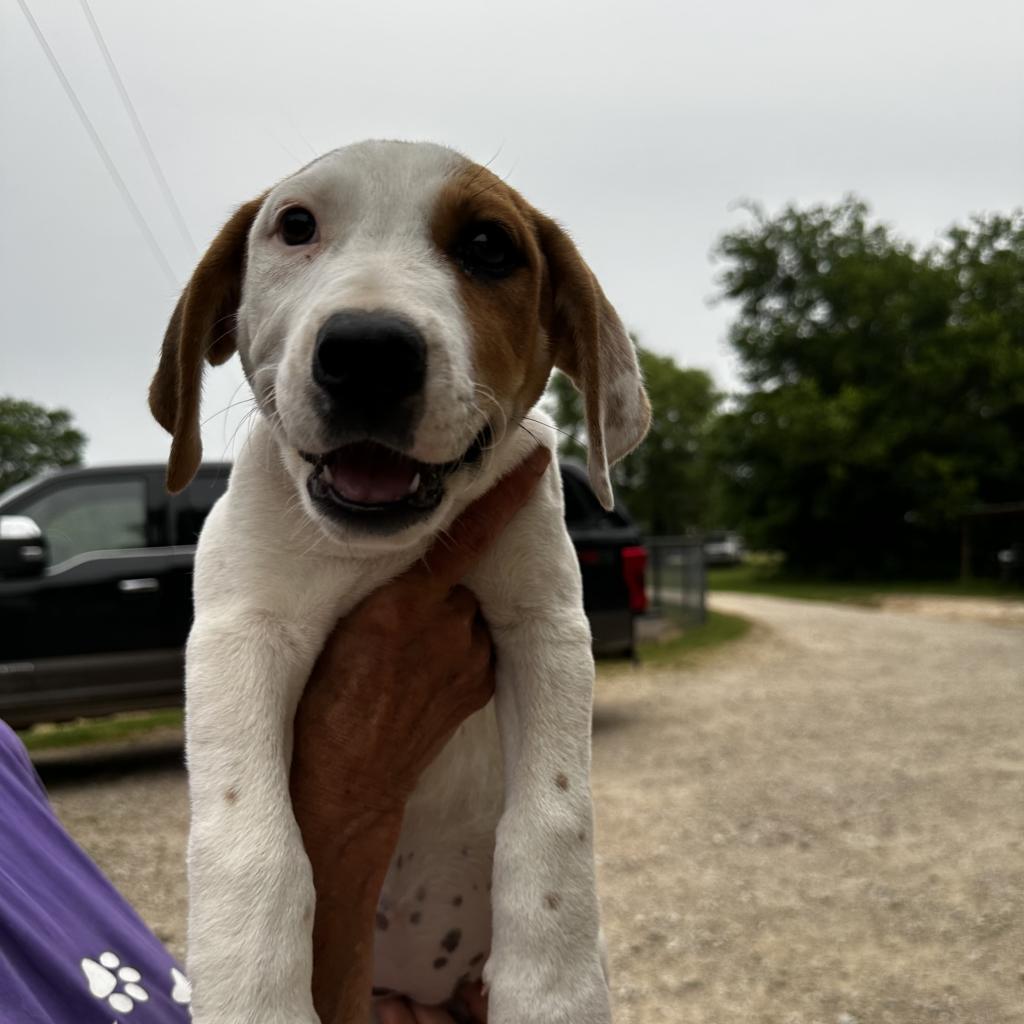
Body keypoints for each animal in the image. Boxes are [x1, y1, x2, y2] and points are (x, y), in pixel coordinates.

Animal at [148, 138, 647, 1024]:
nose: (368, 351)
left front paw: (554, 989)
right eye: (296, 226)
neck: (378, 550)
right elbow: (250, 835)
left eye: (488, 246)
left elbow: (554, 814)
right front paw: (252, 992)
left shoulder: (545, 626)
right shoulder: (241, 633)